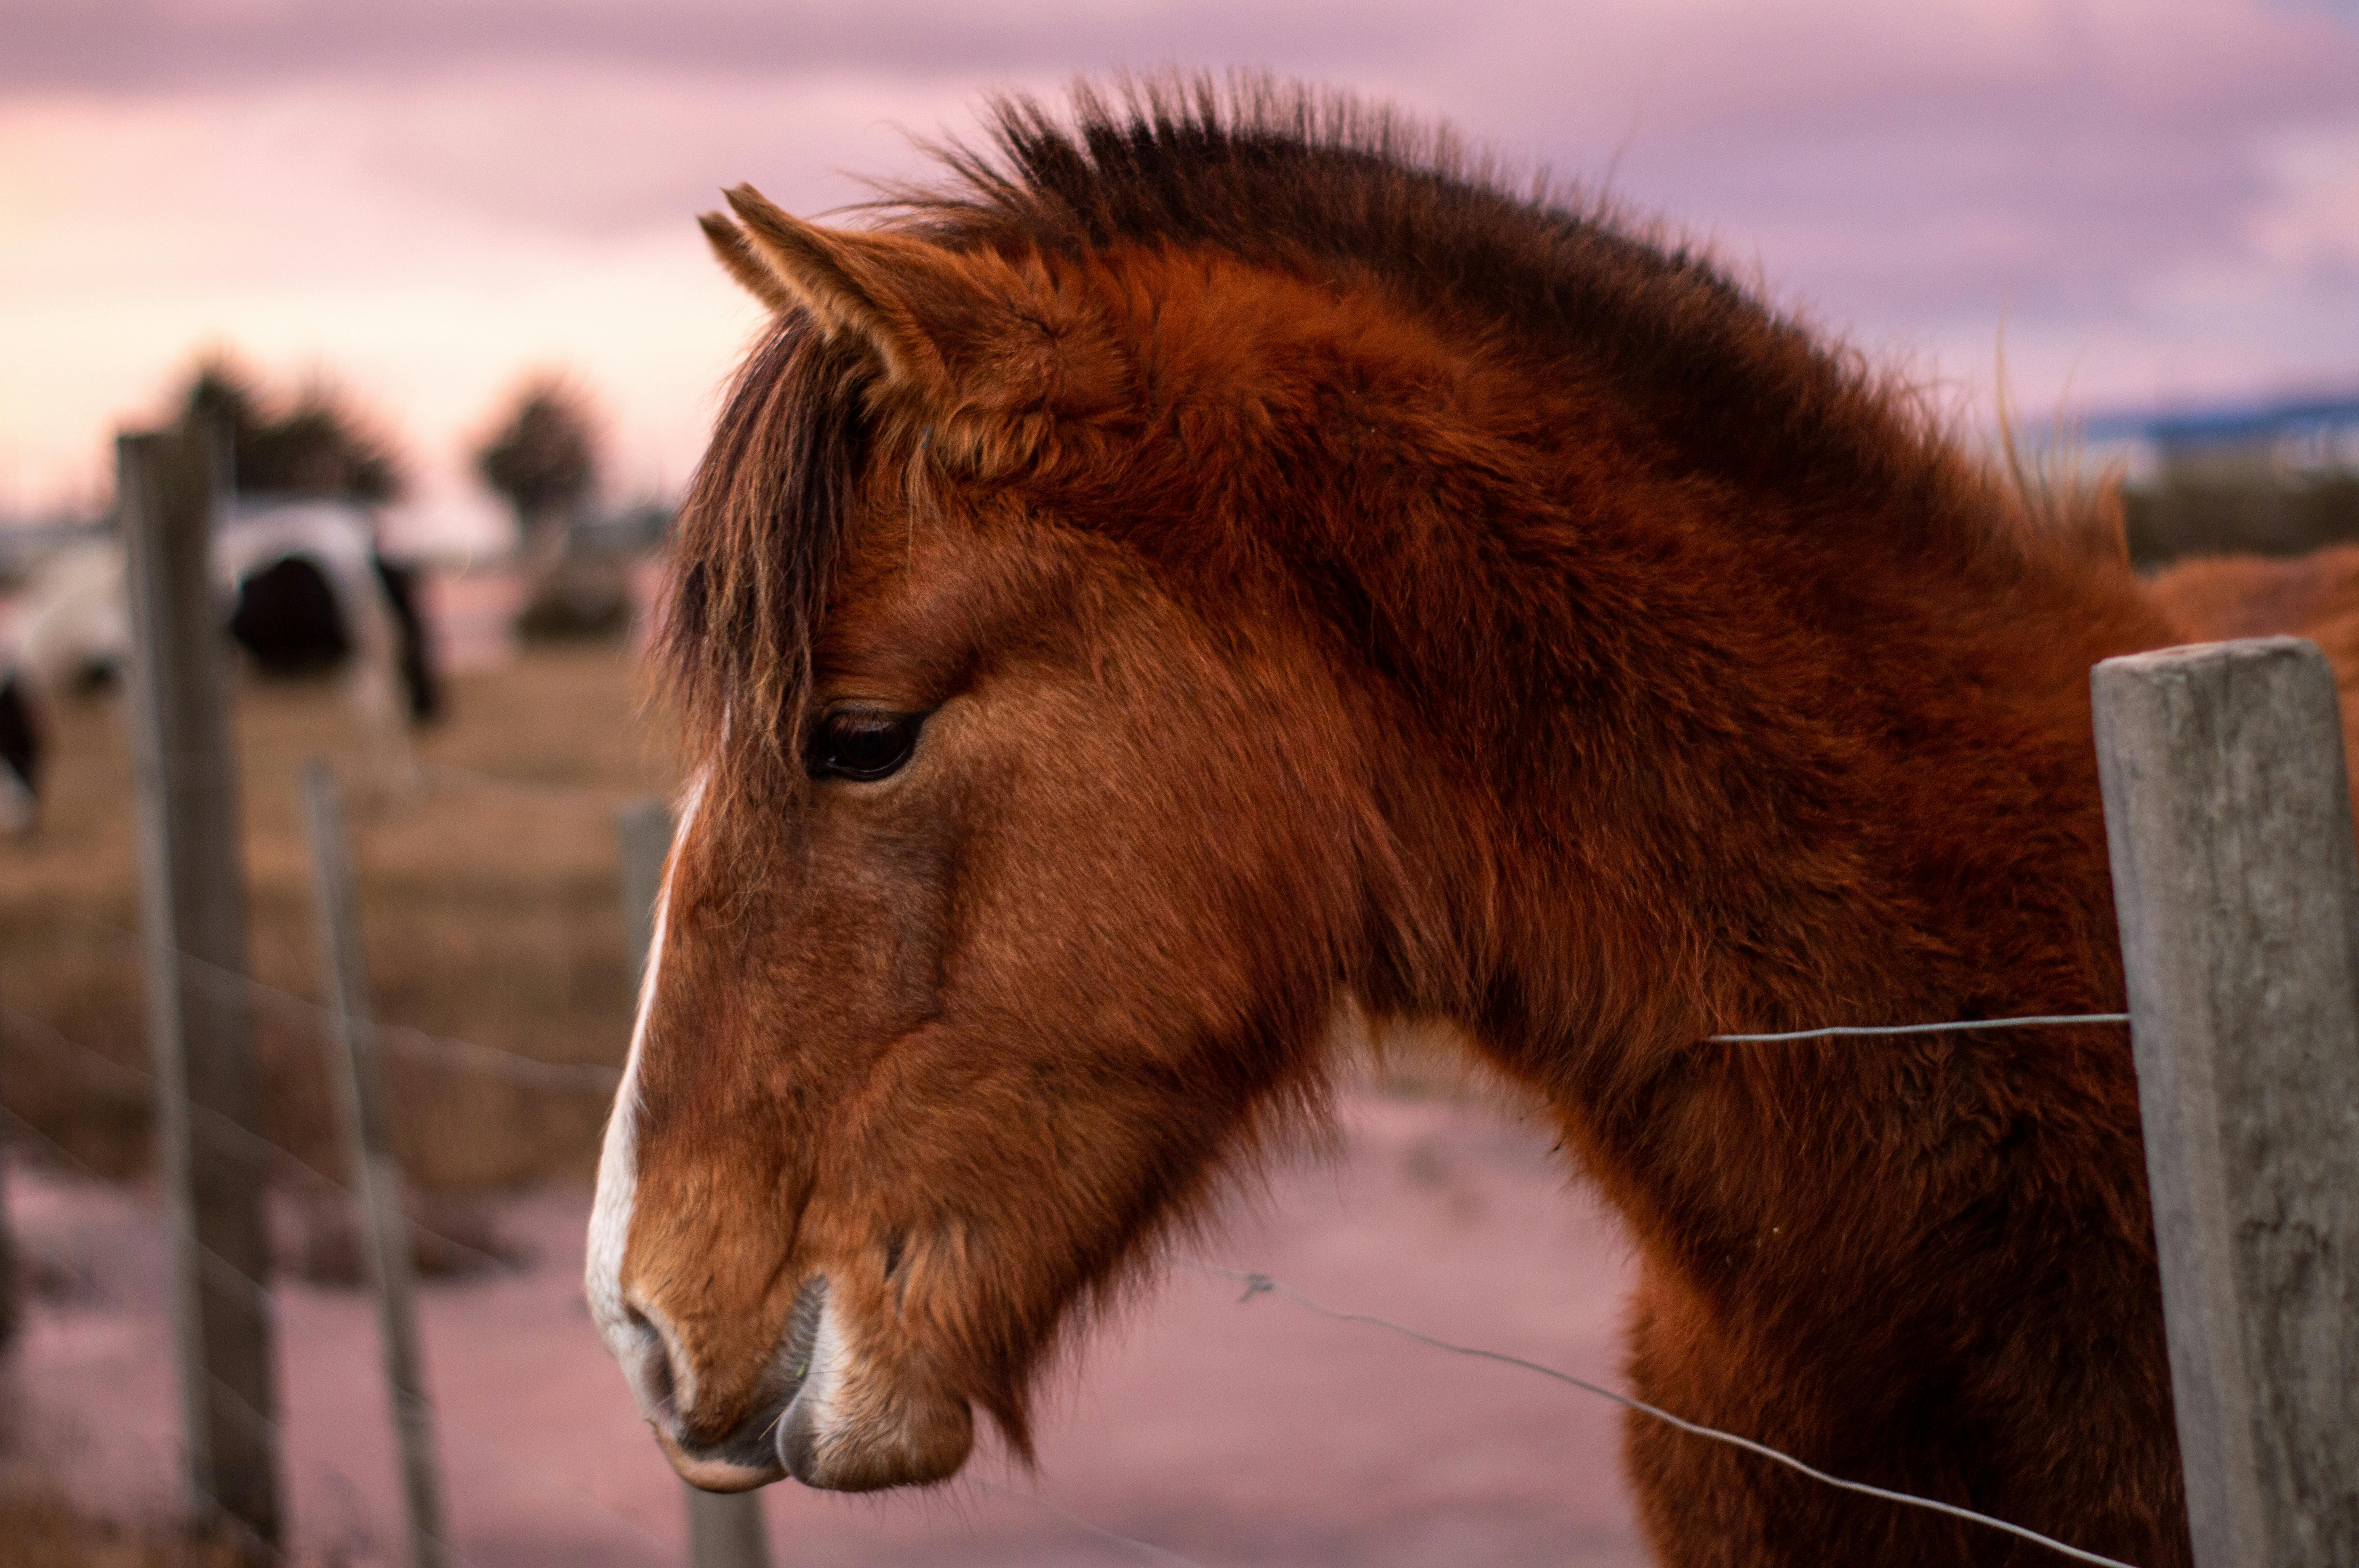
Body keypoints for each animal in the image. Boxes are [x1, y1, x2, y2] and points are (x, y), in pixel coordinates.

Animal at [0, 505, 441, 839]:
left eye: (18, 742)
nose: (20, 824)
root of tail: (368, 541)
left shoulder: (128, 680)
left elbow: (135, 735)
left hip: (368, 650)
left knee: (382, 711)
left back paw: (396, 789)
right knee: (377, 710)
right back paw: (382, 787)